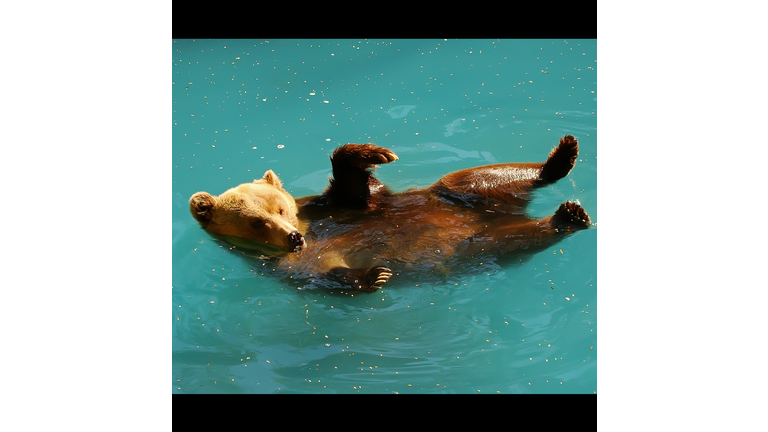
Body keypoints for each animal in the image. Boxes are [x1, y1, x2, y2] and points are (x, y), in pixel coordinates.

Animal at [189, 135, 592, 292]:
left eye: (281, 207)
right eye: (256, 223)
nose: (293, 235)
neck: (311, 228)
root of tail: (506, 213)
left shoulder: (330, 207)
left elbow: (358, 190)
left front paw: (373, 153)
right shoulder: (283, 266)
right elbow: (323, 279)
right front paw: (375, 274)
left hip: (462, 193)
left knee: (491, 176)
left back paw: (562, 158)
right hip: (474, 247)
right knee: (512, 240)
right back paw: (567, 217)